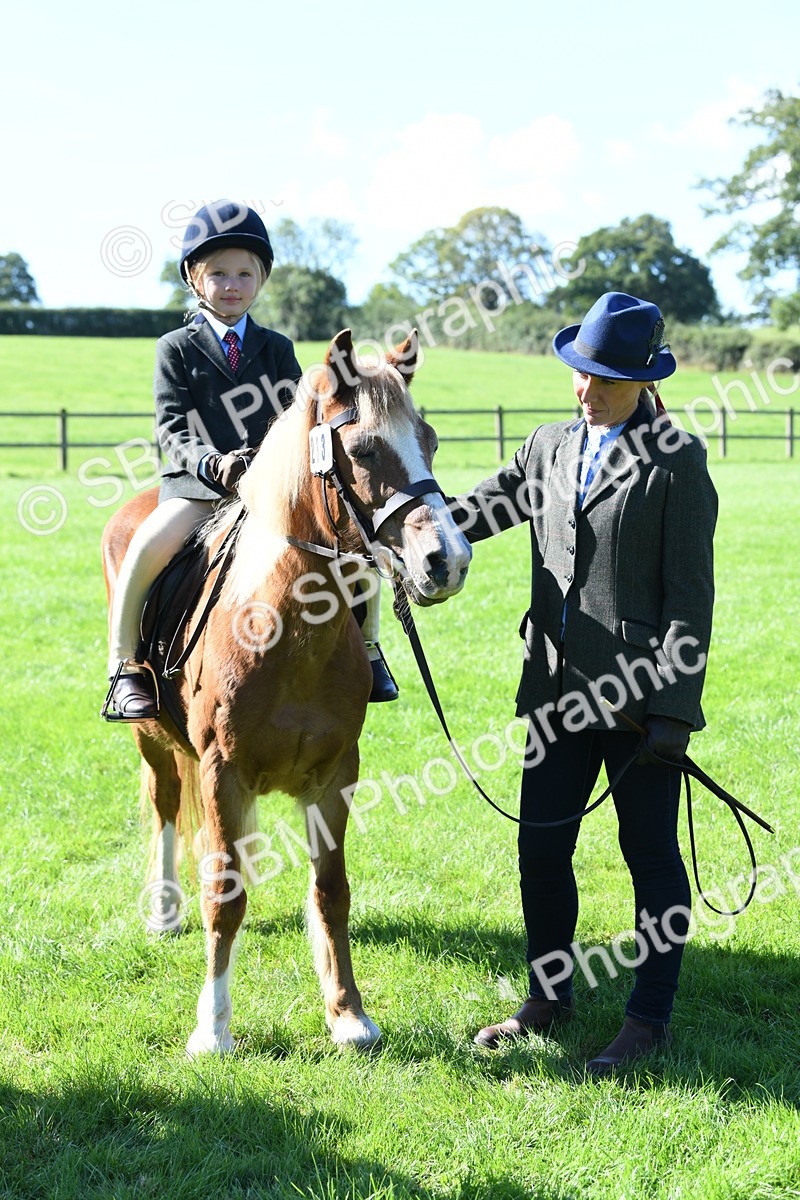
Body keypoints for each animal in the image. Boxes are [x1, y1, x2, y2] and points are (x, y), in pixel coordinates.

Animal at [101, 328, 472, 1056]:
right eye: (363, 450)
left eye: (431, 440)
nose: (447, 561)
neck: (286, 627)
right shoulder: (222, 771)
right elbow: (224, 895)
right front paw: (213, 1028)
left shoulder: (335, 775)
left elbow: (331, 891)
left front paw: (349, 1016)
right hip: (152, 737)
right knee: (164, 804)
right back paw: (164, 910)